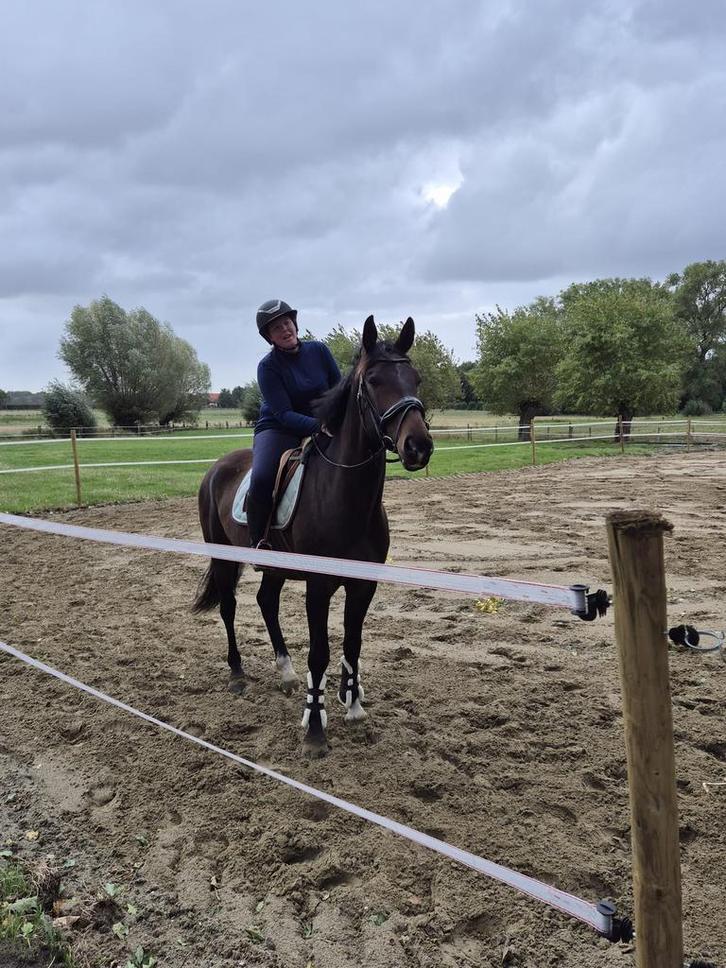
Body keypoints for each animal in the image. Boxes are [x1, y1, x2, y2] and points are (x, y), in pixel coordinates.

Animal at [192, 315, 434, 757]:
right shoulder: (318, 586)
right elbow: (320, 652)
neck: (346, 498)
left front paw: (353, 707)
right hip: (223, 557)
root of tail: (217, 467)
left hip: (273, 566)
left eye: (416, 378)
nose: (418, 446)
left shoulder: (364, 584)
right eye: (373, 380)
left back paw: (286, 672)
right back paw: (237, 674)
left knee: (266, 601)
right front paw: (315, 730)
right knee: (230, 608)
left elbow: (352, 644)